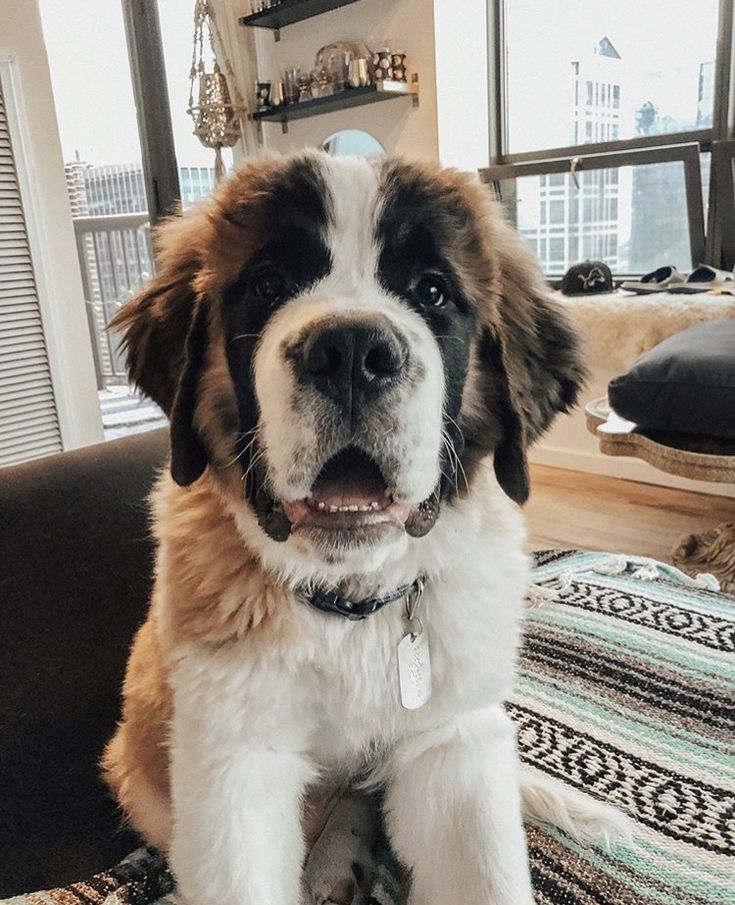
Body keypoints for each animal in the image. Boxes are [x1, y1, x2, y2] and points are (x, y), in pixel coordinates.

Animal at [100, 152, 616, 900]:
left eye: (432, 291)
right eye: (268, 283)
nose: (348, 350)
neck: (352, 607)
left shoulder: (453, 743)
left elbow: (483, 870)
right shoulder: (232, 763)